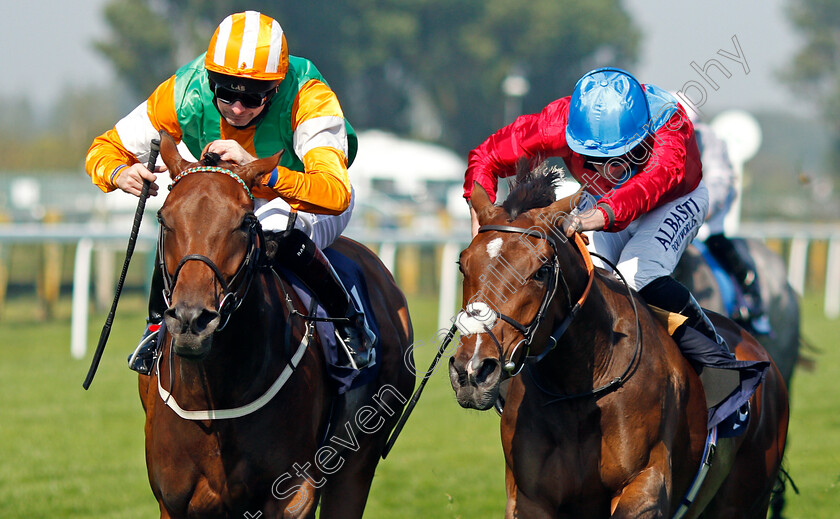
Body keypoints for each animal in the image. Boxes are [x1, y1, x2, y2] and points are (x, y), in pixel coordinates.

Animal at [139, 131, 416, 519]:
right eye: (164, 218)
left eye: (244, 222)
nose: (192, 320)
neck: (215, 399)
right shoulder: (173, 500)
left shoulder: (293, 494)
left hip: (359, 458)